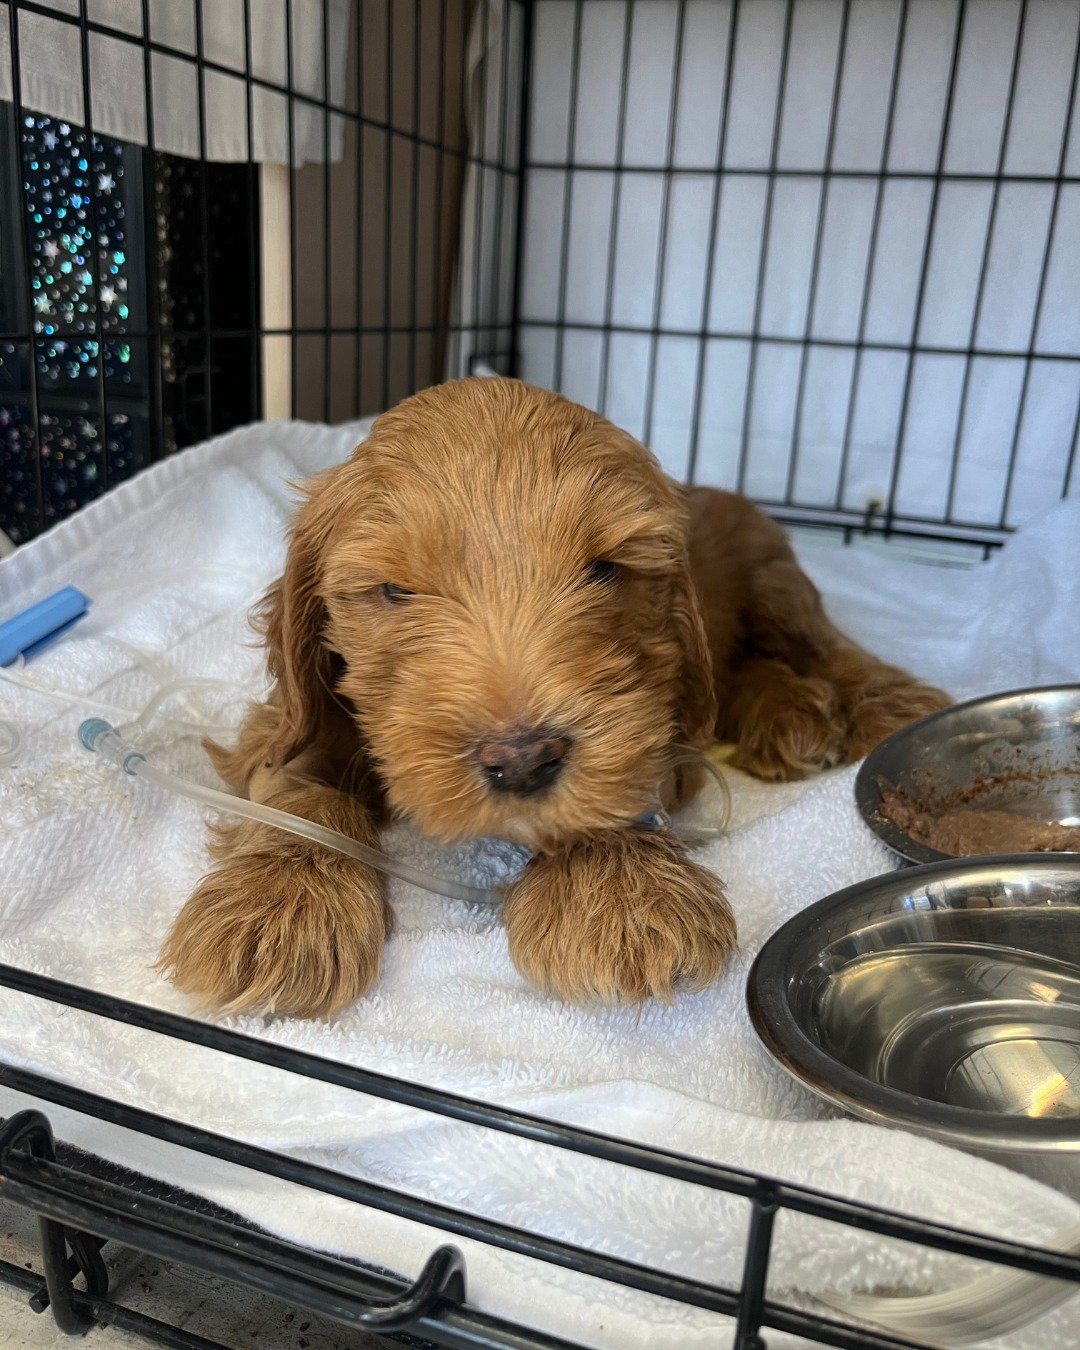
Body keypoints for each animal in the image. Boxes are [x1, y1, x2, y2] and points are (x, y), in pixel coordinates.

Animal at [157, 378, 945, 1015]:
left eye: (603, 570)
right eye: (394, 590)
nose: (522, 760)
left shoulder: (655, 717)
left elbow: (615, 783)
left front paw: (618, 893)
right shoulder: (297, 713)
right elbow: (294, 785)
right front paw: (278, 908)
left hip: (776, 580)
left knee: (825, 645)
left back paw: (886, 706)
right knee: (753, 670)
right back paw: (788, 719)